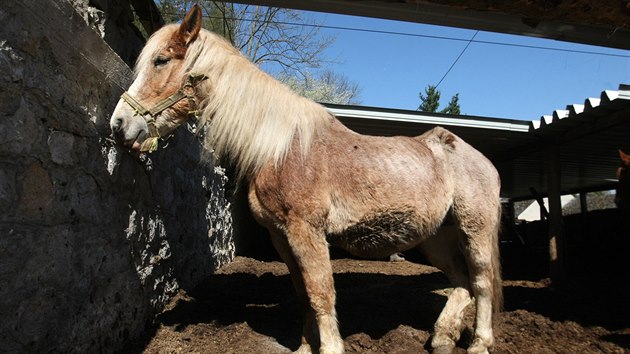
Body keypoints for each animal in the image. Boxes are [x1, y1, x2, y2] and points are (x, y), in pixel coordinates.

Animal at [108, 6, 504, 354]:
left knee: (481, 282)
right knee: (461, 282)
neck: (280, 147)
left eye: (161, 60)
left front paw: (329, 347)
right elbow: (302, 294)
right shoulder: (281, 236)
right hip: (436, 237)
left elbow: (320, 292)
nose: (119, 124)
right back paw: (442, 337)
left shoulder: (306, 231)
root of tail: (481, 159)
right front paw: (303, 346)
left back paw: (479, 343)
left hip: (474, 230)